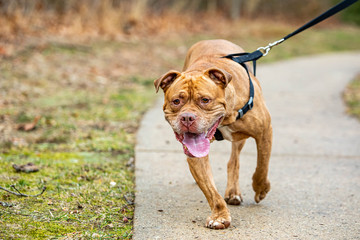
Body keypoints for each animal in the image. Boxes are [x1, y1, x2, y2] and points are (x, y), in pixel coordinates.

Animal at [153, 39, 272, 231]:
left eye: (205, 100)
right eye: (176, 101)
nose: (187, 117)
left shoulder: (264, 131)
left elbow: (262, 166)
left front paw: (260, 188)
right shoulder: (195, 155)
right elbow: (210, 190)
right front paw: (220, 216)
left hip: (240, 138)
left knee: (234, 159)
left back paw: (234, 191)